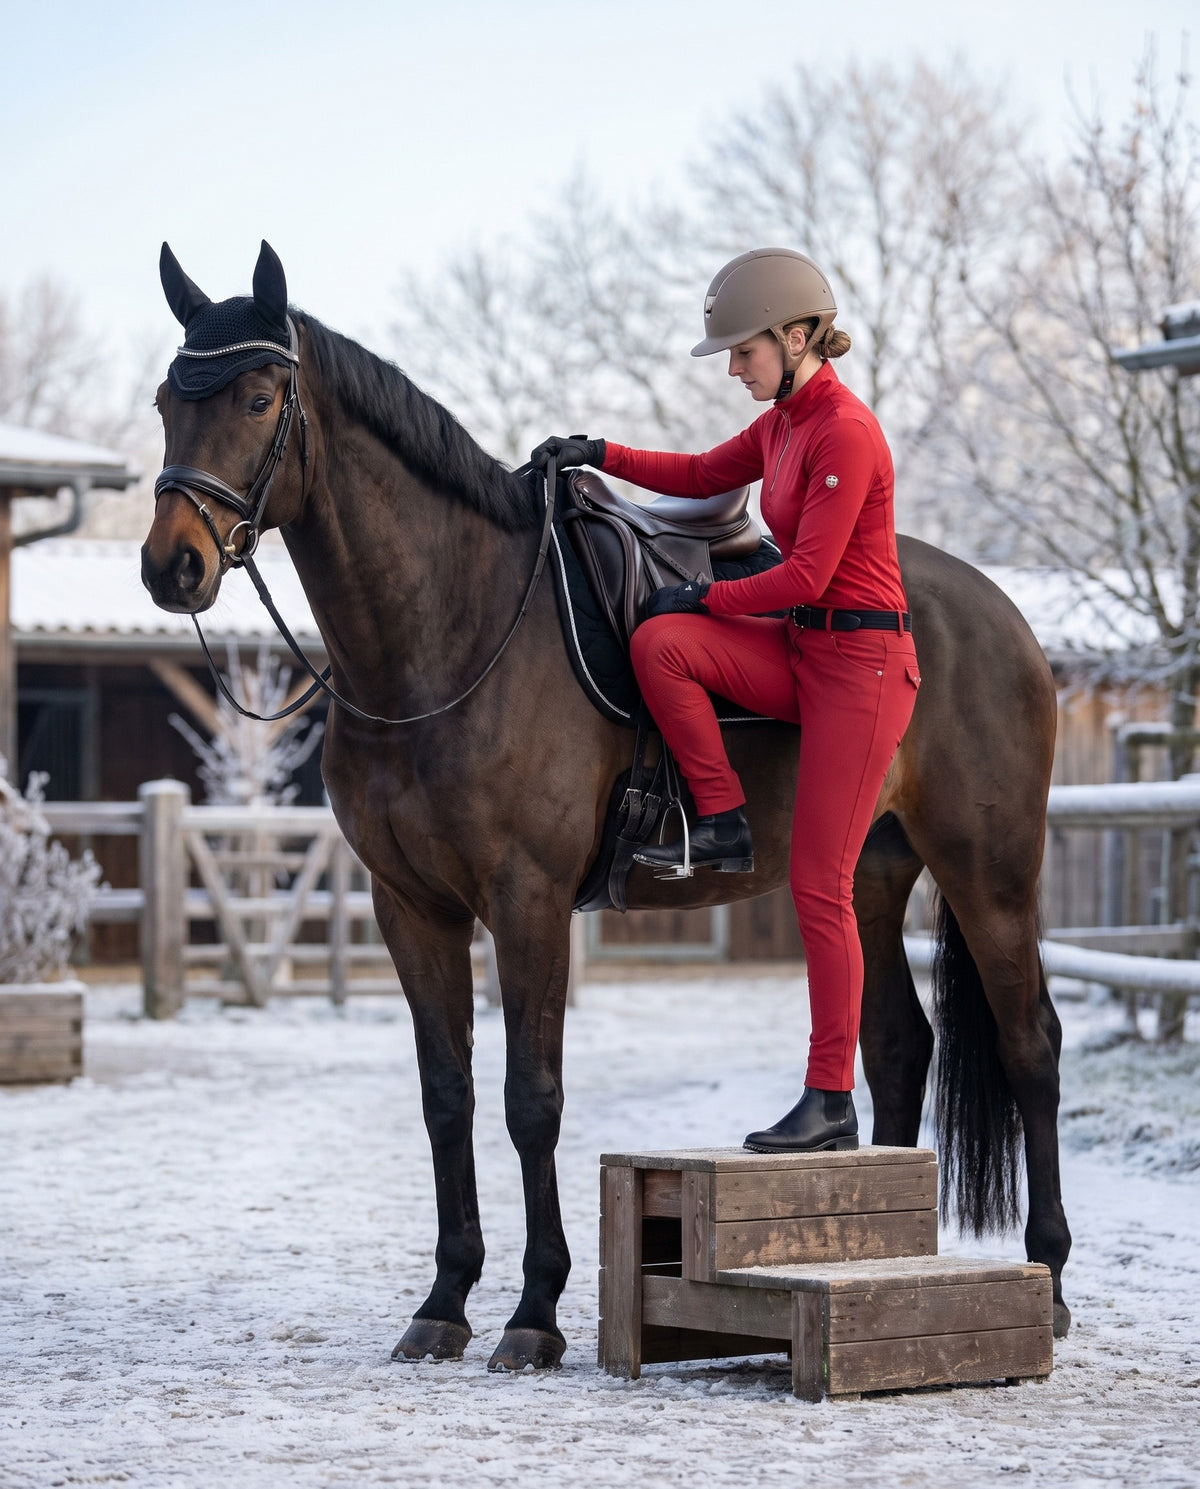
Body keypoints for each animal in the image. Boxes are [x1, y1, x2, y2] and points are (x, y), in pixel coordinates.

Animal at [141, 241, 1072, 1369]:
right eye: (165, 403)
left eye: (258, 395)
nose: (171, 564)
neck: (446, 634)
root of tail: (997, 614)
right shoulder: (412, 906)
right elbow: (446, 1096)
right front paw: (445, 1298)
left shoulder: (528, 900)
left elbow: (530, 1099)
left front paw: (535, 1309)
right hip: (866, 871)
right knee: (898, 1042)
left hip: (990, 871)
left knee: (1031, 1045)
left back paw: (1053, 1277)